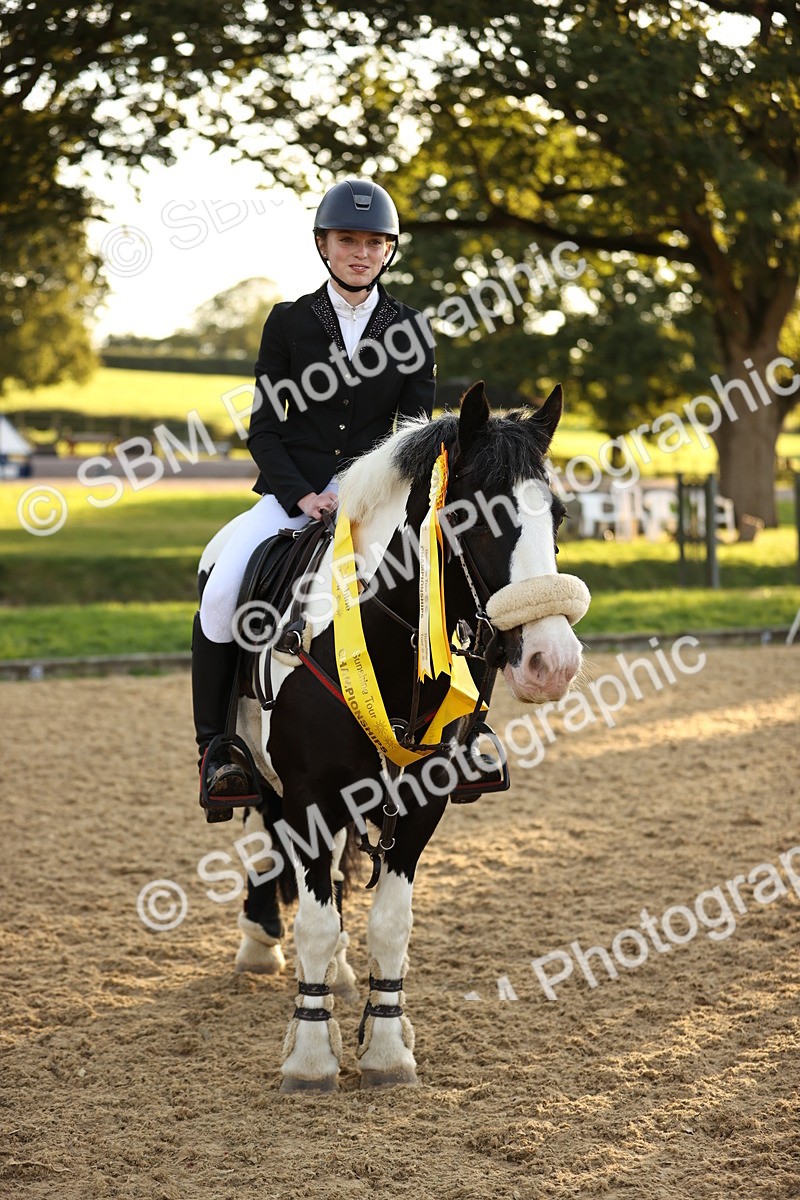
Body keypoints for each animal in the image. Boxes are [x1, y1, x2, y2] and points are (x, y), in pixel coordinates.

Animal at [197, 381, 590, 1091]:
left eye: (561, 515)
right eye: (472, 516)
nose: (554, 662)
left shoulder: (422, 800)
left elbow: (390, 922)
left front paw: (384, 1047)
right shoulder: (308, 795)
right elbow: (315, 922)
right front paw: (311, 1056)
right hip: (271, 782)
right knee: (273, 842)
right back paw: (260, 941)